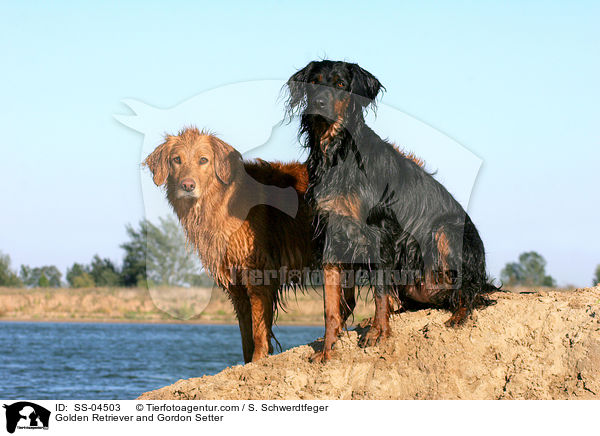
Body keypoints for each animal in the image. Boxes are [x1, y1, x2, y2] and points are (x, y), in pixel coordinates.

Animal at [286, 60, 496, 362]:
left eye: (340, 84)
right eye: (314, 82)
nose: (319, 103)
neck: (337, 154)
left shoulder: (381, 234)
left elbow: (379, 293)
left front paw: (378, 334)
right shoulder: (331, 237)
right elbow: (331, 306)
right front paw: (327, 349)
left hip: (445, 232)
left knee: (471, 291)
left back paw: (459, 314)